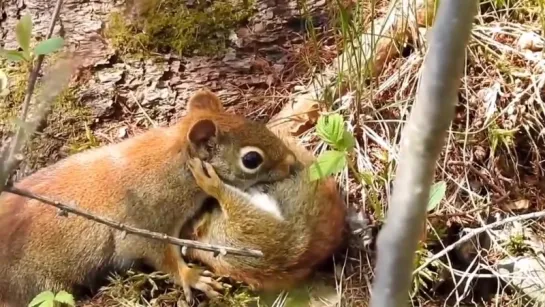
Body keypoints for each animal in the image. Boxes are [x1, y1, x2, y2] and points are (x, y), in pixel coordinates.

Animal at [0, 88, 298, 306]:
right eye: (251, 159)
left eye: (256, 124)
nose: (291, 163)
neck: (173, 164)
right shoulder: (145, 222)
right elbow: (160, 256)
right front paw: (192, 276)